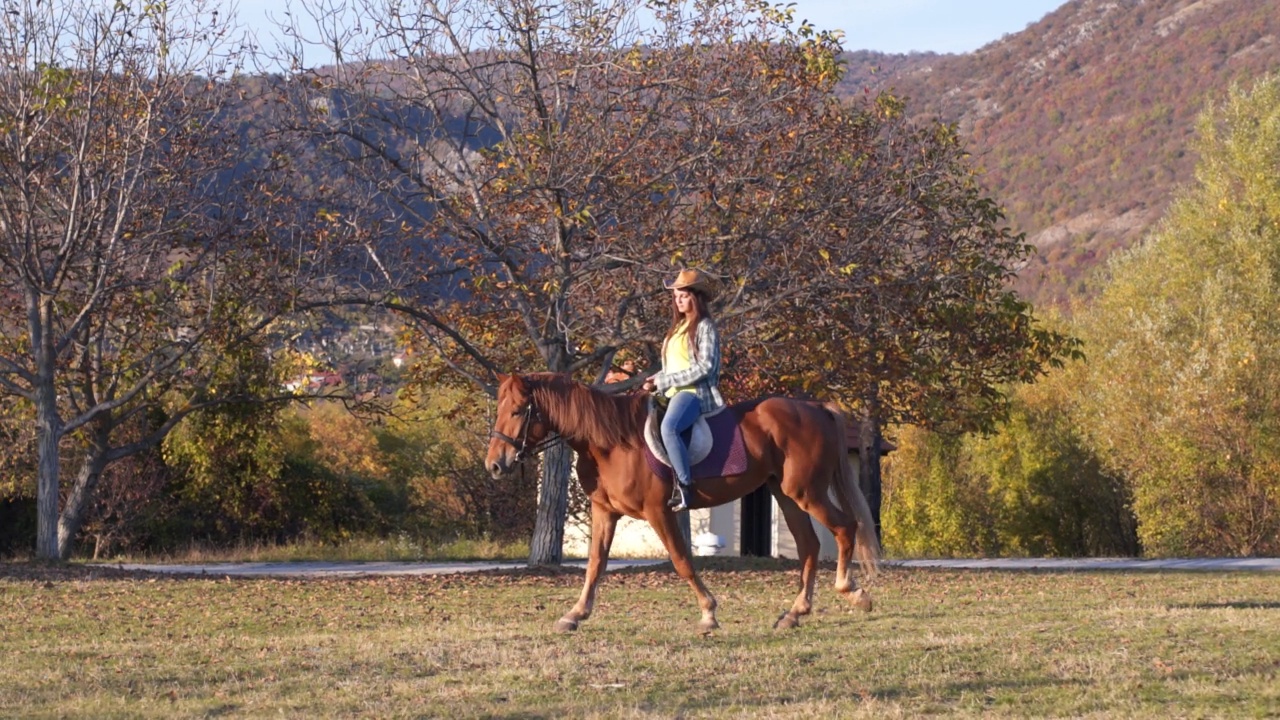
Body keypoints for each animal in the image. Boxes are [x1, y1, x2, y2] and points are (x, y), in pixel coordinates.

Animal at [483, 371, 885, 630]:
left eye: (517, 411)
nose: (495, 465)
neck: (611, 443)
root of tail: (815, 408)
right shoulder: (605, 512)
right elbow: (595, 564)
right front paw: (575, 614)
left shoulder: (659, 512)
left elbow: (681, 560)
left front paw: (708, 613)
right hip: (785, 495)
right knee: (809, 545)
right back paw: (794, 613)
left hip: (807, 492)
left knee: (844, 528)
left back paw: (852, 592)